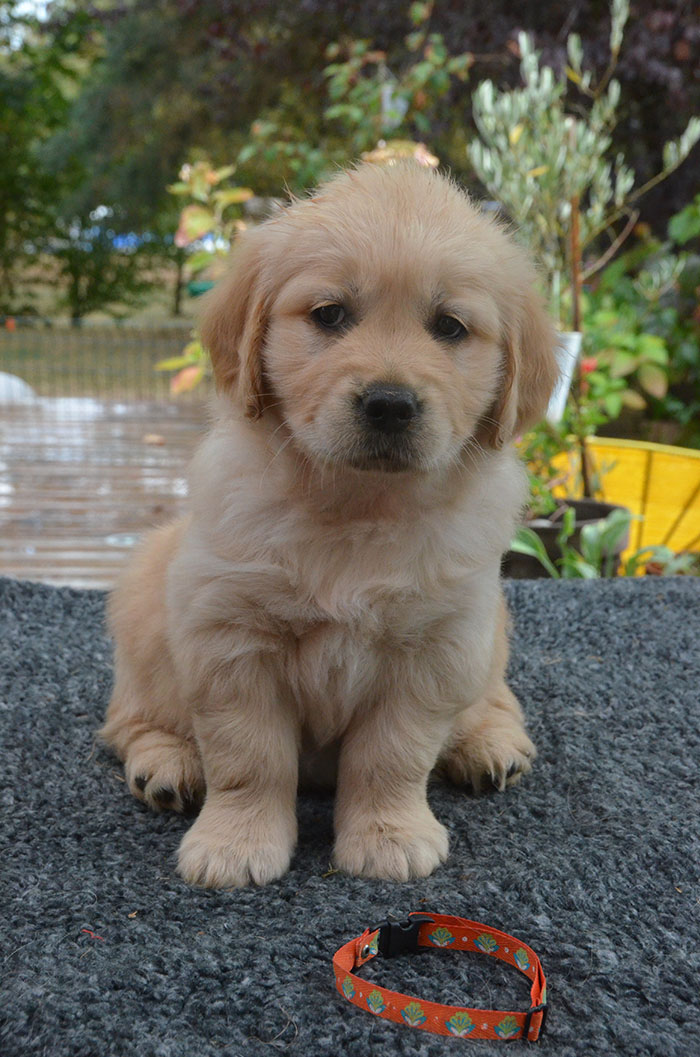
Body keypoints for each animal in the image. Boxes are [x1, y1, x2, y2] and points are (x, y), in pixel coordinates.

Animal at [101, 162, 558, 888]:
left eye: (450, 327)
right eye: (330, 315)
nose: (390, 404)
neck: (357, 506)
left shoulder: (437, 646)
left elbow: (393, 755)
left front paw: (389, 835)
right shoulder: (230, 638)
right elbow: (248, 756)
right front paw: (236, 843)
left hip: (491, 628)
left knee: (494, 697)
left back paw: (491, 744)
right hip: (145, 595)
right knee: (130, 720)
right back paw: (167, 763)